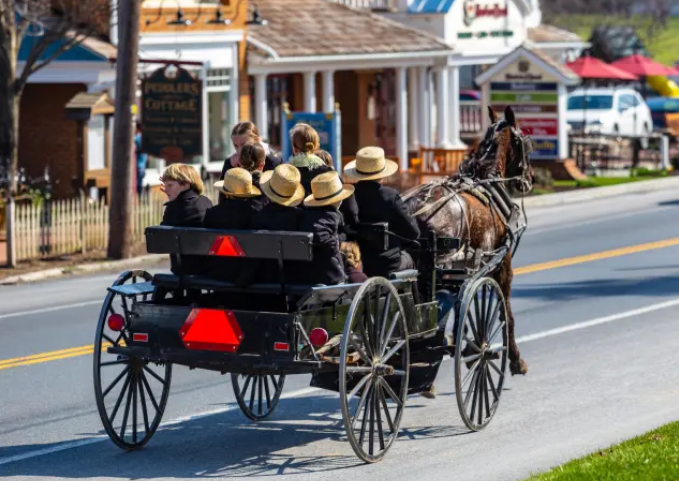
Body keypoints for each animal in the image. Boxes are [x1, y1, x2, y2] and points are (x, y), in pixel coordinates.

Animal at [404, 105, 536, 376]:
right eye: (524, 143)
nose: (531, 178)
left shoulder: (468, 270)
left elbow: (462, 306)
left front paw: (464, 343)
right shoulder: (501, 265)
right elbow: (505, 313)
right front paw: (514, 359)